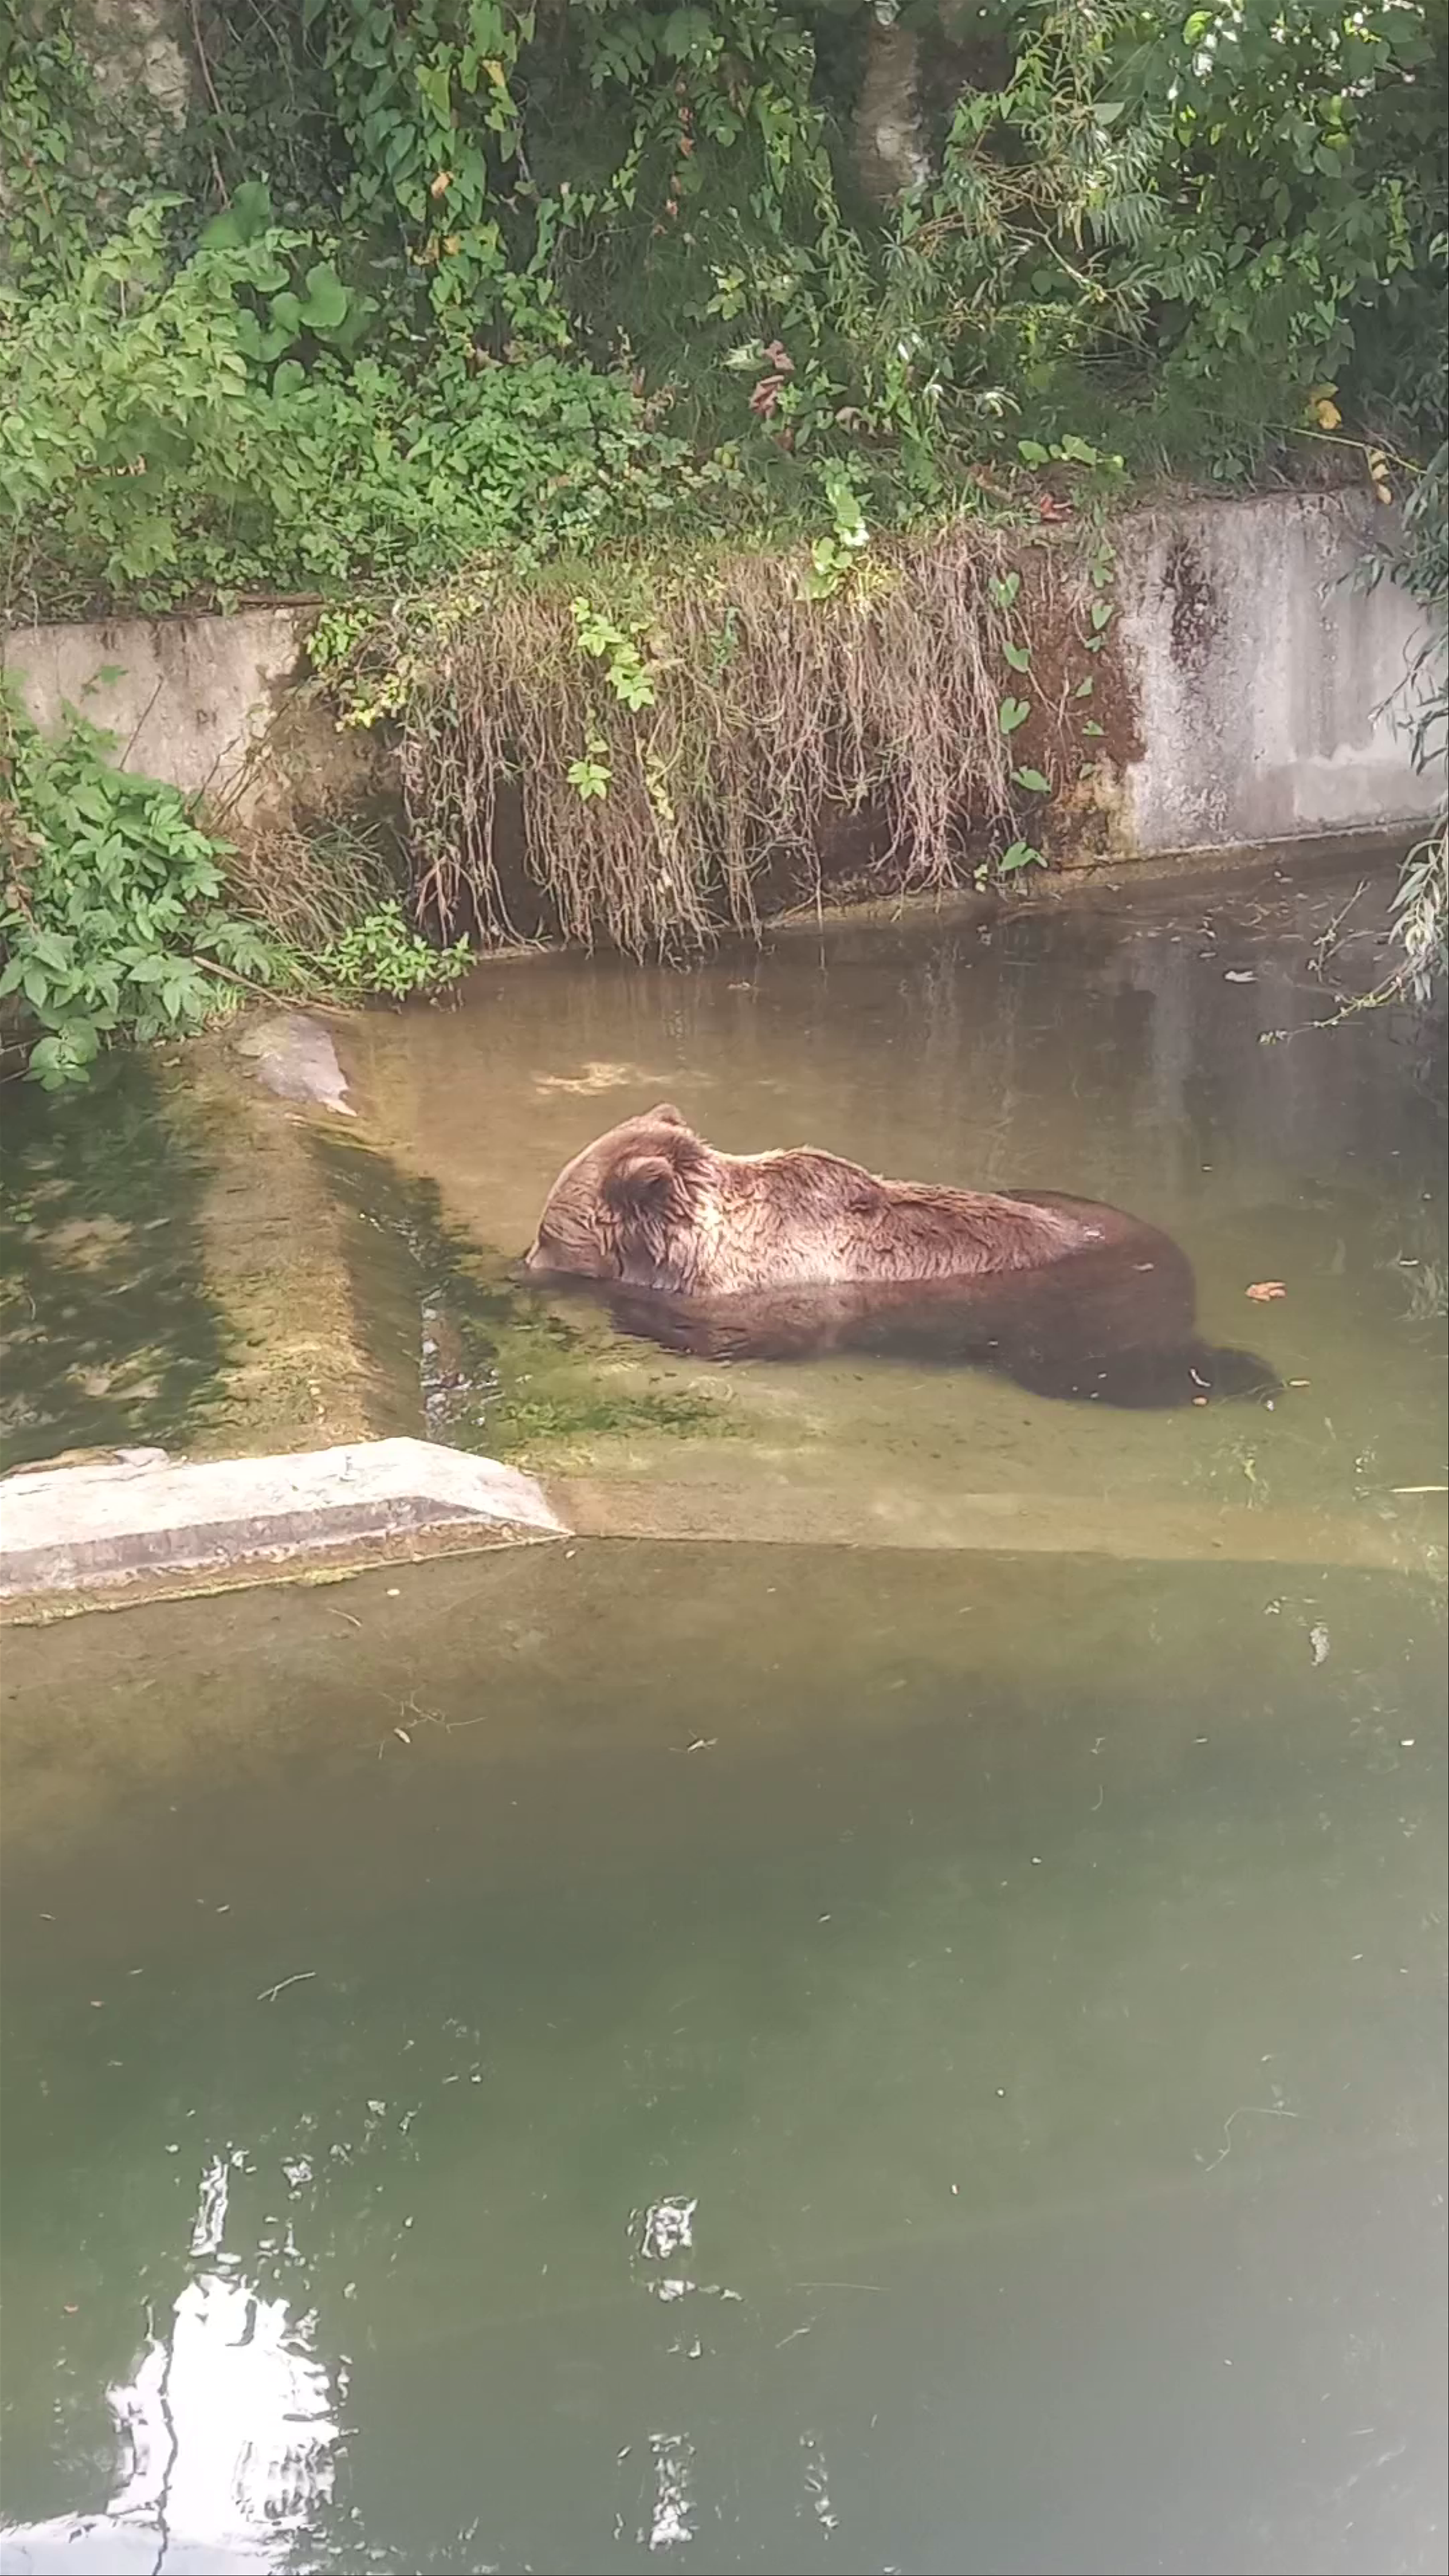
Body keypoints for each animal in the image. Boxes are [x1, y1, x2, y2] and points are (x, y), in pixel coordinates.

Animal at [523, 1105, 1275, 1409]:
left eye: (548, 1233)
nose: (522, 1263)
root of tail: (1172, 1254)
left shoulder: (766, 1292)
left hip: (1076, 1319)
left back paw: (1248, 1372)